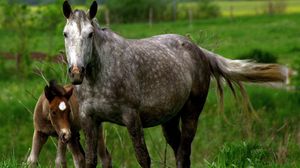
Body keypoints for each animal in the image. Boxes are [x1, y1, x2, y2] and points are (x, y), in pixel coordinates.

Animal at [62, 0, 290, 167]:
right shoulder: (89, 119)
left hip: (191, 113)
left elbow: (143, 158)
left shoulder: (131, 117)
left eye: (90, 34)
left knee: (183, 153)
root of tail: (198, 50)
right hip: (169, 119)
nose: (76, 72)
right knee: (179, 149)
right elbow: (90, 161)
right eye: (65, 34)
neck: (101, 76)